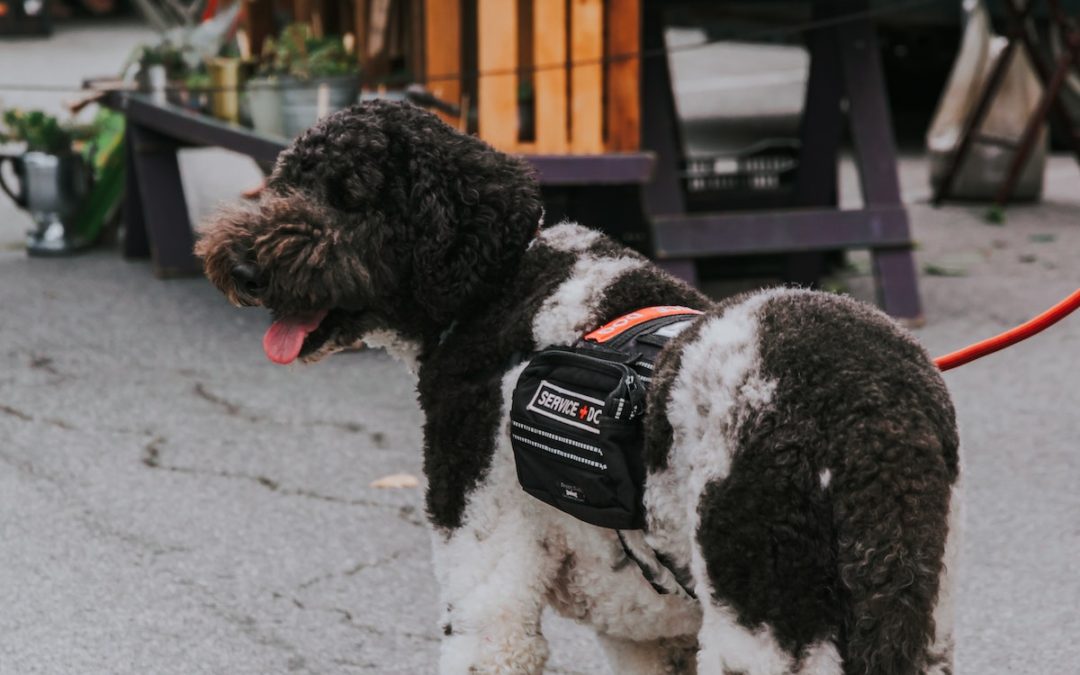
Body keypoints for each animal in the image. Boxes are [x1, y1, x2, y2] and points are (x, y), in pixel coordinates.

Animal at [198, 102, 959, 669]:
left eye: (350, 197)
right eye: (286, 180)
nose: (242, 266)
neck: (499, 284)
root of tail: (875, 420)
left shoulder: (489, 589)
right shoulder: (648, 632)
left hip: (768, 621)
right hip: (911, 613)